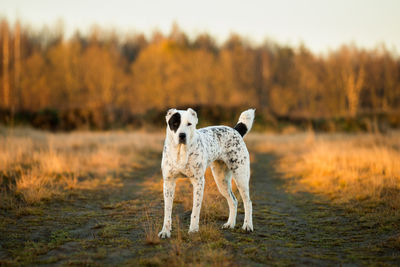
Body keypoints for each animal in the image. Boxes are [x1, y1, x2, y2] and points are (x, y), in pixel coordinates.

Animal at [158, 107, 255, 239]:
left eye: (189, 124)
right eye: (175, 123)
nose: (182, 135)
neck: (181, 152)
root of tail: (235, 130)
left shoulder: (198, 182)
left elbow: (195, 210)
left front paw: (193, 230)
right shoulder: (168, 183)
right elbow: (167, 211)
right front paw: (165, 231)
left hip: (241, 177)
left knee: (248, 202)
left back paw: (247, 226)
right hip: (221, 181)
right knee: (233, 201)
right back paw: (230, 224)